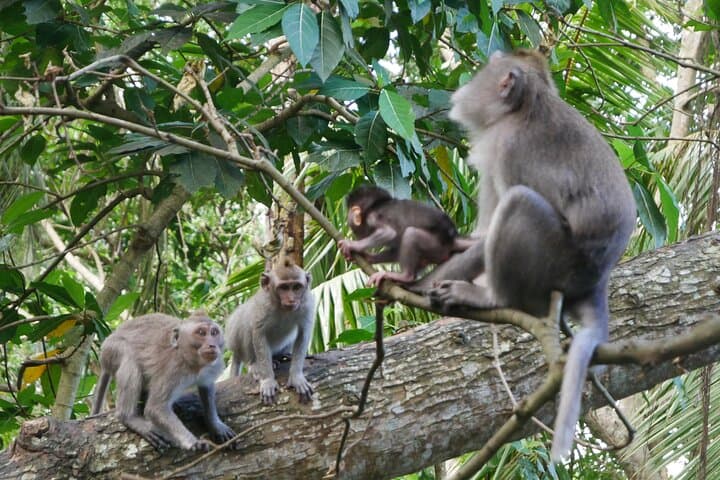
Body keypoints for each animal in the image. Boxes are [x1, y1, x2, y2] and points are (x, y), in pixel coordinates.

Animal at [91, 311, 237, 451]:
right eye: (201, 333)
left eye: (214, 332)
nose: (212, 345)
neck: (192, 362)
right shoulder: (172, 371)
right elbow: (155, 409)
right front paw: (193, 442)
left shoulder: (212, 366)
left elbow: (207, 387)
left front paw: (215, 424)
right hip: (112, 350)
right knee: (130, 358)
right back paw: (128, 417)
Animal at [225, 257, 316, 405]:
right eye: (284, 288)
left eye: (296, 287)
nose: (291, 299)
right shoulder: (263, 305)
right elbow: (258, 333)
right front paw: (267, 380)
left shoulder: (307, 304)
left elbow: (303, 333)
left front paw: (297, 377)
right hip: (235, 342)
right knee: (244, 320)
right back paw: (254, 364)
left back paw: (280, 356)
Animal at [337, 185, 475, 287]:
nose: (348, 220)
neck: (372, 207)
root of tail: (452, 240)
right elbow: (395, 249)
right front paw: (368, 257)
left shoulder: (372, 218)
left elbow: (388, 233)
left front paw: (352, 245)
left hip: (437, 247)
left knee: (411, 234)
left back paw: (405, 277)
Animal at [417, 50, 636, 462]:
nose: (466, 87)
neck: (521, 109)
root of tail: (597, 279)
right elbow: (479, 235)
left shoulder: (507, 148)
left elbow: (493, 230)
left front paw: (409, 283)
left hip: (558, 261)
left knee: (520, 202)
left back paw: (491, 297)